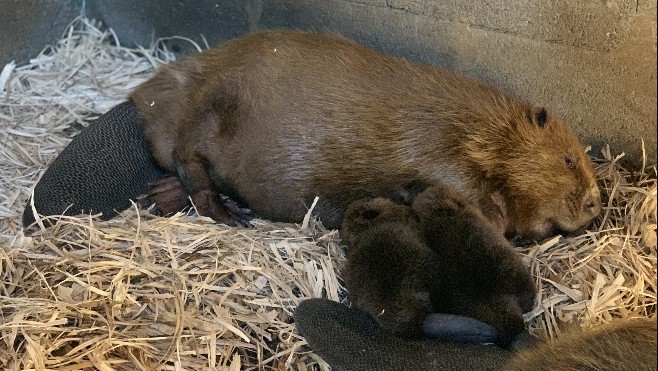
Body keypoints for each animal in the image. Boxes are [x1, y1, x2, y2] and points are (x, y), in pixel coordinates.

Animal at [131, 29, 596, 240]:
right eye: (569, 159)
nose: (594, 203)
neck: (482, 125)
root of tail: (144, 96)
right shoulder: (430, 134)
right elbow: (451, 175)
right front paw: (493, 217)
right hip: (214, 104)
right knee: (189, 156)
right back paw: (222, 210)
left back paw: (163, 194)